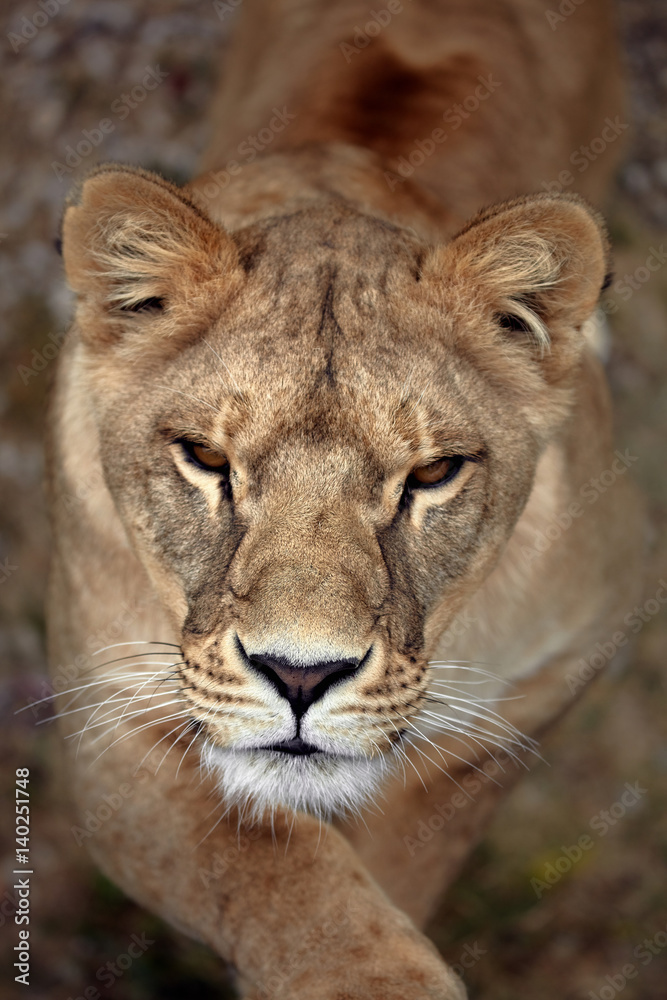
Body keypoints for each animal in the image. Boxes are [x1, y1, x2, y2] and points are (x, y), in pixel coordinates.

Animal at [47, 0, 643, 997]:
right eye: (204, 458)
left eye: (432, 474)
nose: (300, 677)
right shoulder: (108, 726)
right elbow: (268, 868)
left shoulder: (561, 660)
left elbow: (409, 830)